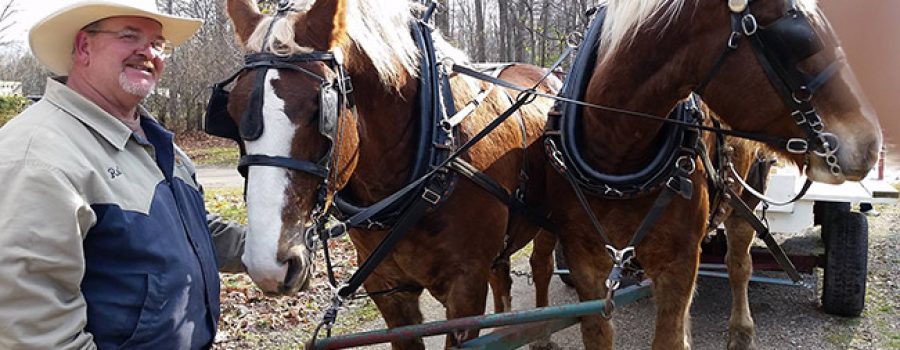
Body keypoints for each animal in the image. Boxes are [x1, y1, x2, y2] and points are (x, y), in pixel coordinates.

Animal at [223, 0, 556, 346]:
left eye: (319, 110)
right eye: (231, 112)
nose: (268, 265)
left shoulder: (466, 289)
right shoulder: (388, 290)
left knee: (541, 265)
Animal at [532, 0, 884, 350]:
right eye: (800, 39)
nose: (870, 142)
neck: (616, 159)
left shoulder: (679, 261)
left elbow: (670, 337)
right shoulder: (584, 260)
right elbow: (597, 332)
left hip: (744, 199)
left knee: (739, 264)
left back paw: (741, 329)